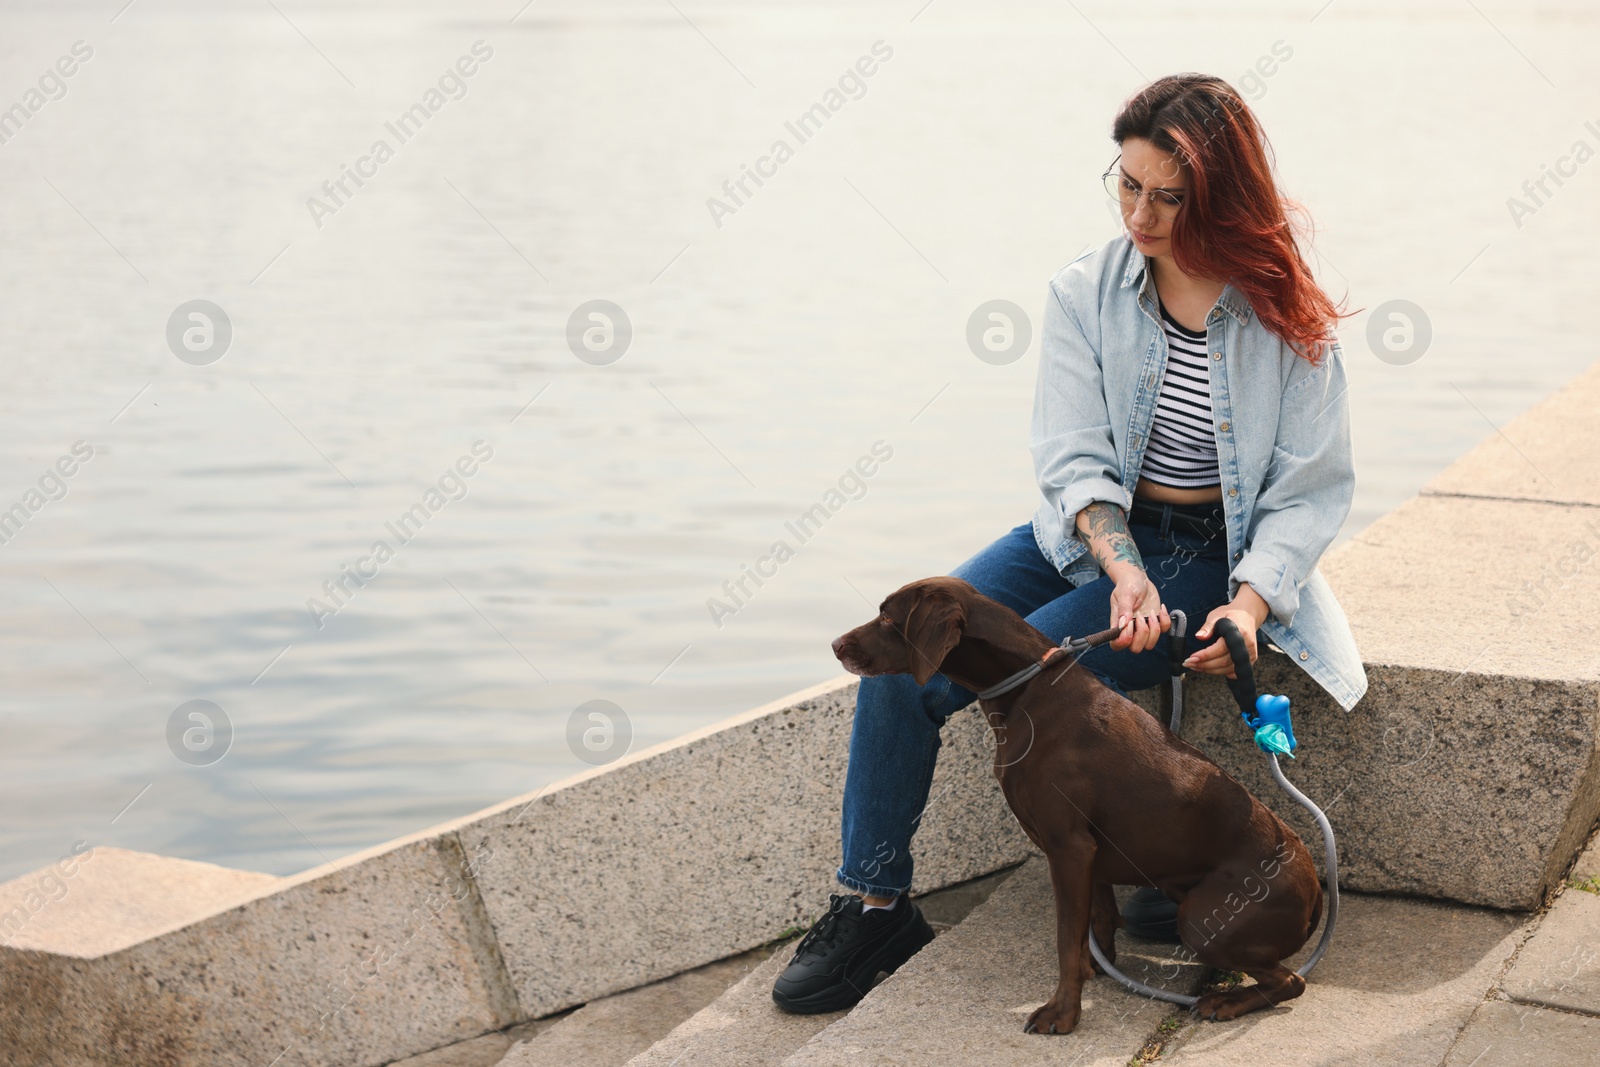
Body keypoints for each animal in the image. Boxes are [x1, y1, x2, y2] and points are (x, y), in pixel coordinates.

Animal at [838, 575, 1324, 1036]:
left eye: (888, 618)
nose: (836, 645)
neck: (1027, 690)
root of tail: (1317, 889)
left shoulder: (1069, 849)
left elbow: (1066, 939)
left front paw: (1063, 1014)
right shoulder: (1092, 855)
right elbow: (1098, 921)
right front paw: (1096, 970)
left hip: (1201, 918)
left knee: (1291, 981)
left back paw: (1224, 1002)